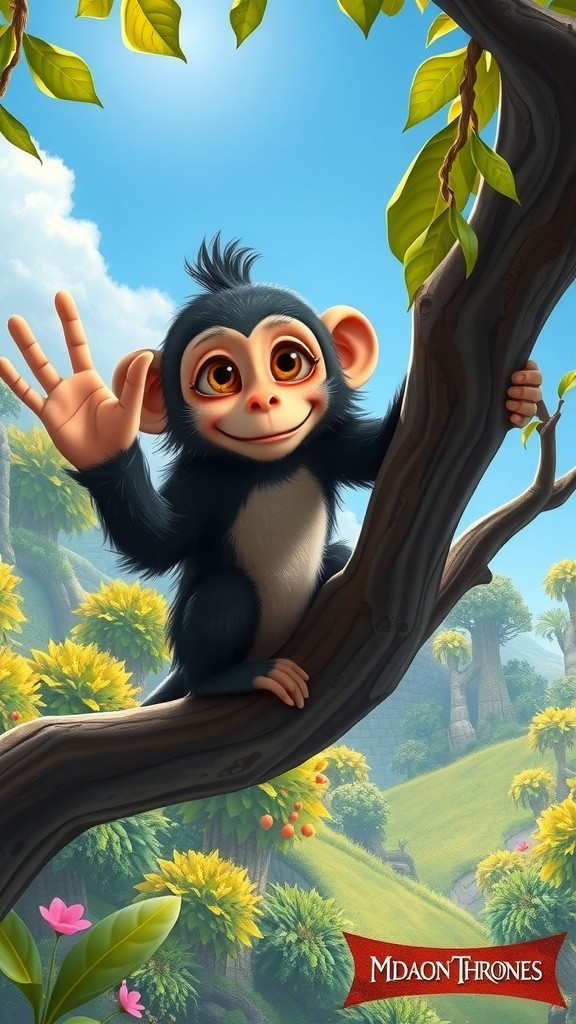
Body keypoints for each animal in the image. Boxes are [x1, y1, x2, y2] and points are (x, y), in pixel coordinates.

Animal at [0, 237, 543, 709]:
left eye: (287, 362)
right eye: (220, 376)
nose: (263, 401)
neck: (268, 467)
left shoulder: (323, 448)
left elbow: (377, 453)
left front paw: (522, 392)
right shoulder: (203, 482)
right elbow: (159, 544)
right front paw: (90, 424)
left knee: (336, 555)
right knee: (223, 598)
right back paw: (225, 679)